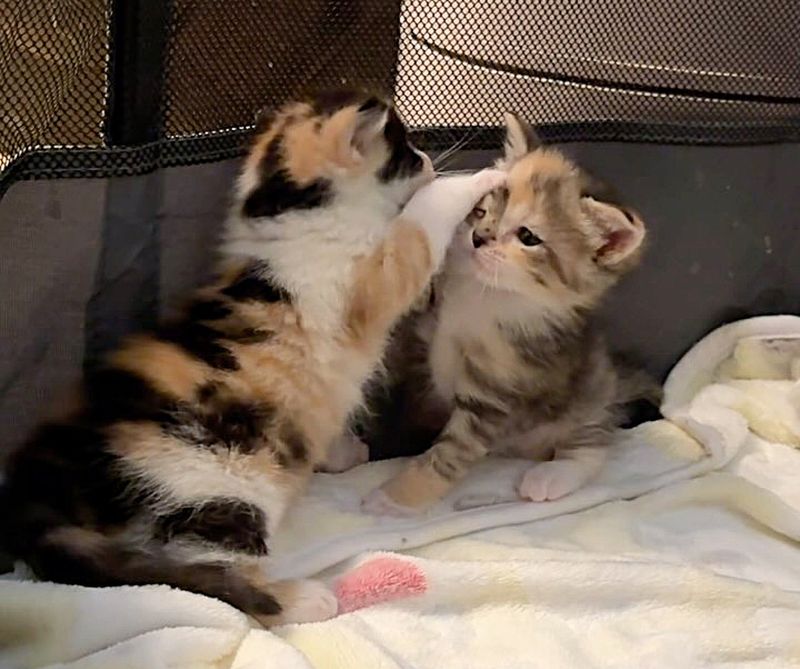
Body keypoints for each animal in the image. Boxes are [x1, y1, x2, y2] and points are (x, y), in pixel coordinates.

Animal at [0, 90, 500, 628]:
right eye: (405, 151)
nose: (427, 158)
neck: (291, 221)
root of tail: (41, 480)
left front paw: (341, 453)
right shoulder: (375, 274)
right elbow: (423, 221)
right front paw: (480, 178)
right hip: (215, 484)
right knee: (209, 581)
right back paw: (304, 599)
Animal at [366, 113, 660, 516]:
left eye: (528, 237)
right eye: (483, 209)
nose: (478, 236)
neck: (485, 294)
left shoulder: (497, 394)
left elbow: (449, 454)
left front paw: (396, 497)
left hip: (591, 392)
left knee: (596, 438)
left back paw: (552, 475)